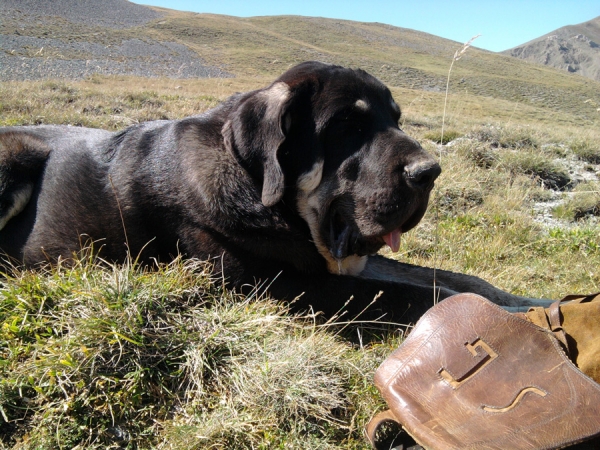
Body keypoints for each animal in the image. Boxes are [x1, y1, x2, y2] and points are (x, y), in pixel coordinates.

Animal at [0, 62, 544, 324]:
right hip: (14, 156)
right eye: (347, 127)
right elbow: (416, 295)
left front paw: (527, 300)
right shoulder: (274, 287)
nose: (429, 172)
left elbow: (450, 278)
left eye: (396, 119)